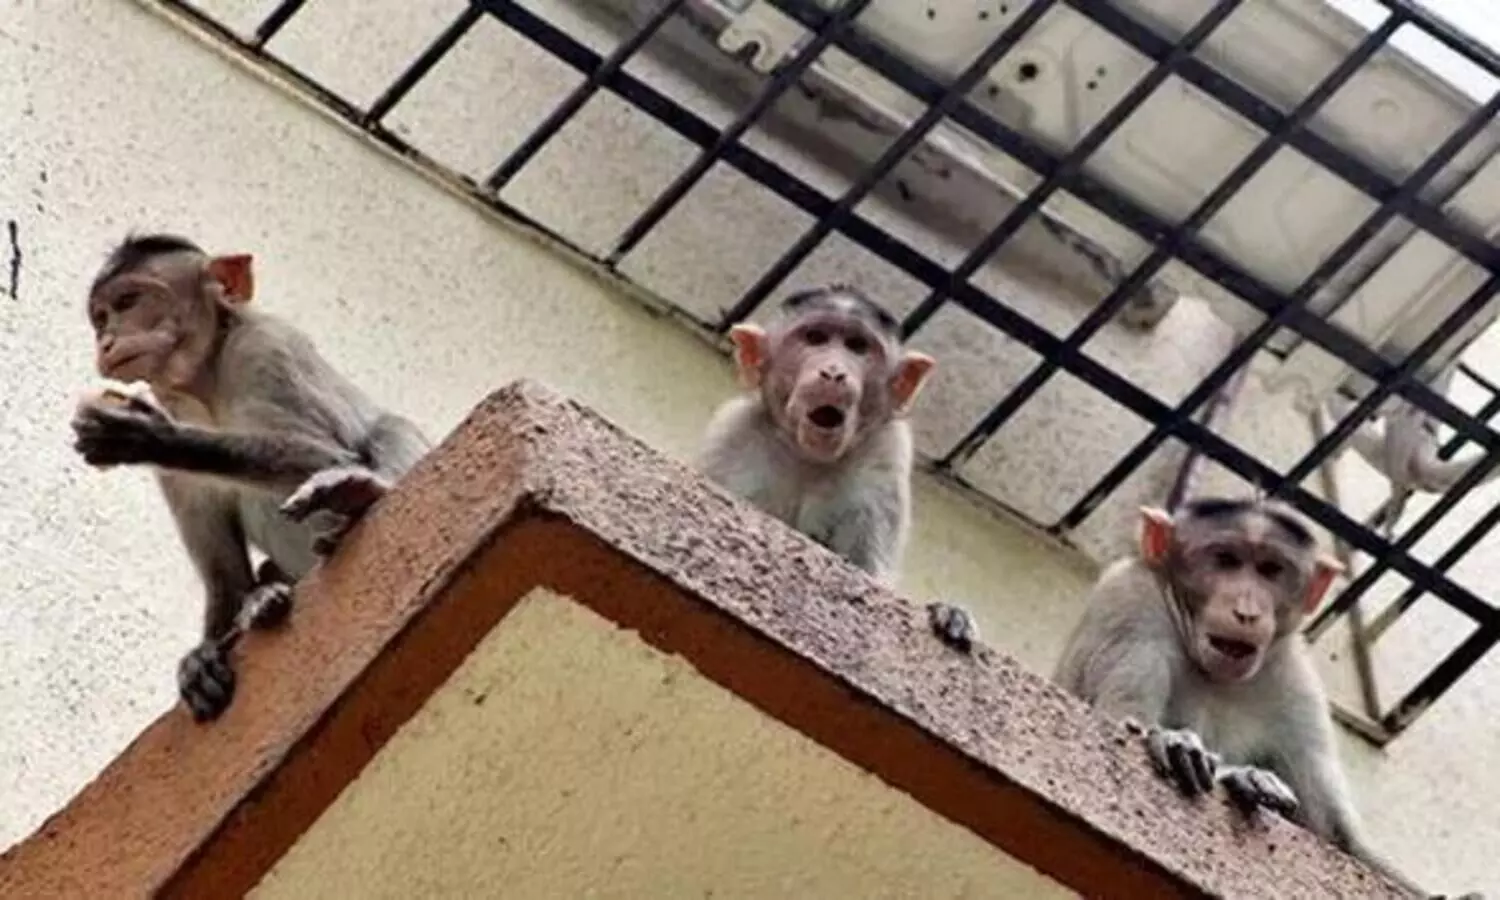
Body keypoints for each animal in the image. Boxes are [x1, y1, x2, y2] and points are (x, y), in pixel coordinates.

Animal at [71, 234, 431, 722]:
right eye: (101, 318)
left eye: (128, 302)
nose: (107, 339)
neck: (206, 383)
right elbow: (220, 563)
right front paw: (204, 653)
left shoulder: (266, 349)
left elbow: (329, 454)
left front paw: (152, 437)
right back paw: (262, 596)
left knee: (390, 428)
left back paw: (360, 495)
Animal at [696, 285, 936, 584]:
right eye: (815, 338)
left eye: (857, 346)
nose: (833, 372)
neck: (808, 456)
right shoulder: (732, 433)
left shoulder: (886, 453)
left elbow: (867, 567)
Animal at [1052, 497, 1481, 900]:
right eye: (1225, 560)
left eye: (1270, 569)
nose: (1247, 611)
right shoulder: (1130, 601)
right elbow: (1121, 718)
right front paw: (1210, 761)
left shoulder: (1293, 676)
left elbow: (1340, 839)